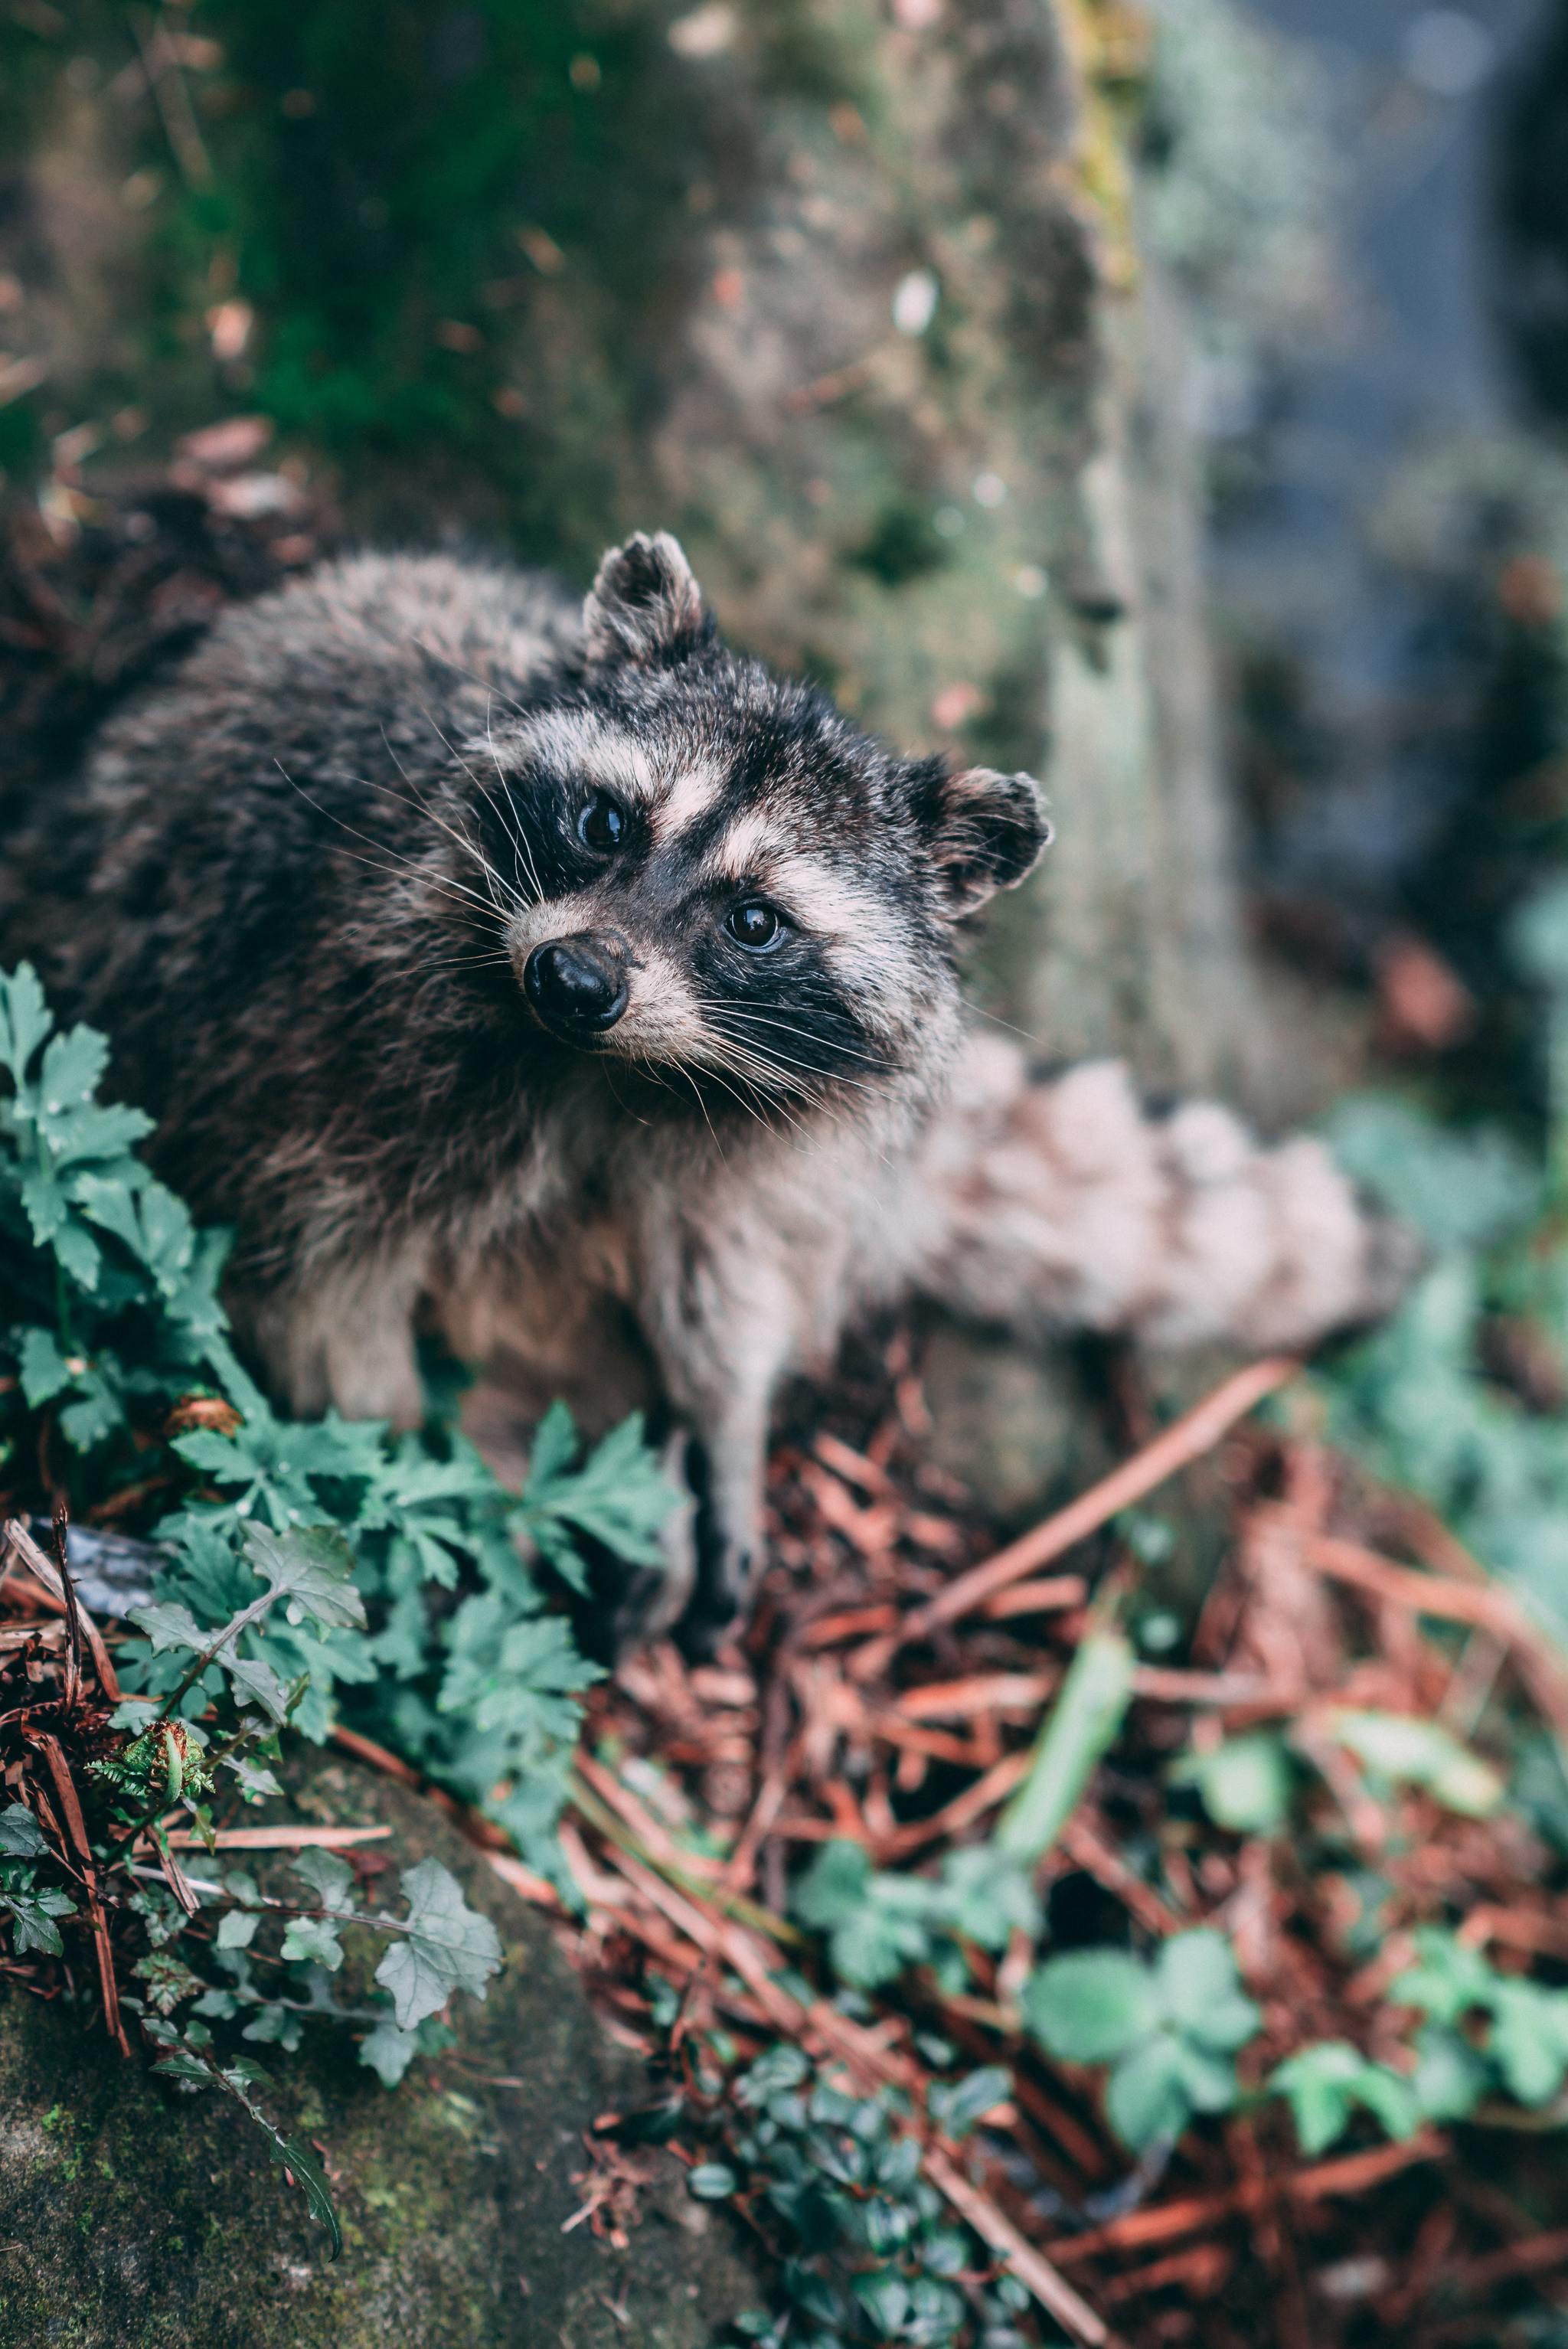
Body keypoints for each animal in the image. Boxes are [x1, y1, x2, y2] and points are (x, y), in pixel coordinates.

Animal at [0, 535, 1399, 1644]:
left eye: (754, 920)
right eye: (604, 825)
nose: (571, 977)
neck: (609, 1068)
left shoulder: (771, 1145)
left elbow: (728, 1284)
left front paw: (725, 1424)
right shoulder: (338, 1037)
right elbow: (315, 1284)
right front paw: (420, 1462)